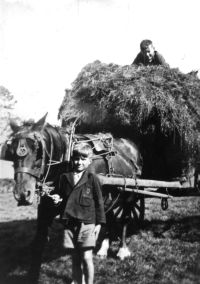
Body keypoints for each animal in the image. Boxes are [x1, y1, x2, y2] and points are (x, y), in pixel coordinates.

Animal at [2, 114, 144, 282]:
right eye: (11, 151)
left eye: (38, 151)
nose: (22, 194)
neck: (65, 162)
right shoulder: (46, 209)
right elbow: (39, 243)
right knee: (108, 219)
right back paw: (103, 249)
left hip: (129, 194)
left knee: (125, 218)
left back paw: (122, 249)